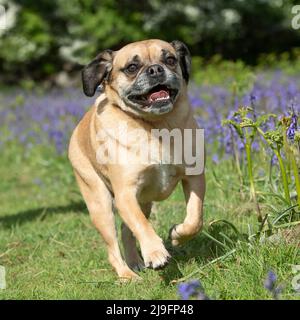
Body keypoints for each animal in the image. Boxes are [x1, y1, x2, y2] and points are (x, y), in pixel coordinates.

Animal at [69, 39, 205, 280]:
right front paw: (155, 252)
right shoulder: (125, 195)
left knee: (126, 231)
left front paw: (178, 234)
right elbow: (142, 226)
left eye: (170, 59)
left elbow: (195, 218)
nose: (155, 69)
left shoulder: (195, 177)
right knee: (113, 246)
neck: (156, 126)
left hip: (143, 202)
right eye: (132, 67)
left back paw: (136, 262)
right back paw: (127, 275)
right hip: (100, 204)